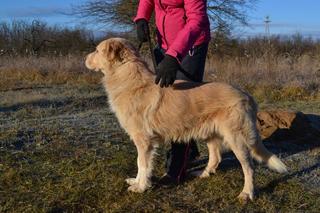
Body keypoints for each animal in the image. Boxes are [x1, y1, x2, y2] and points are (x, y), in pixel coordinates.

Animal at [85, 37, 288, 201]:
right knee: (216, 157)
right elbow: (142, 164)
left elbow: (141, 163)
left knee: (249, 167)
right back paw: (203, 174)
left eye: (97, 50)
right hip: (210, 133)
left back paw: (247, 193)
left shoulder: (143, 140)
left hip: (236, 139)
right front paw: (136, 181)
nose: (84, 59)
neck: (126, 76)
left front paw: (140, 187)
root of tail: (245, 94)